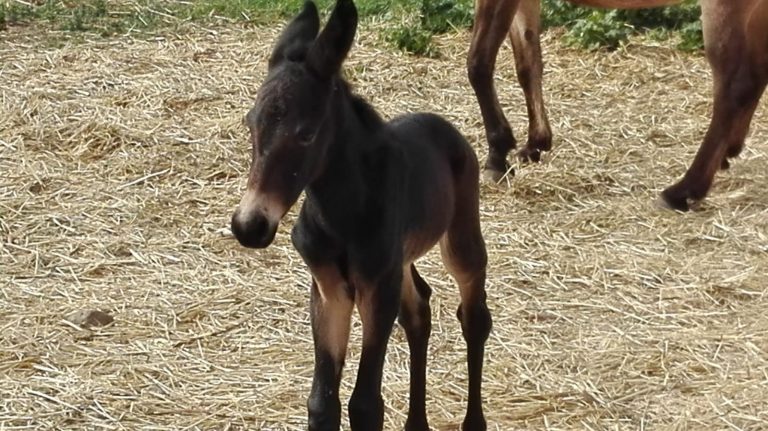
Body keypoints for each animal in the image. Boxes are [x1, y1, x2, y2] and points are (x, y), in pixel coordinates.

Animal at [468, 0, 768, 209]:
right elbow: (528, 63)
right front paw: (535, 143)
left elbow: (479, 65)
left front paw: (497, 155)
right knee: (751, 80)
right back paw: (726, 153)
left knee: (735, 87)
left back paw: (683, 190)